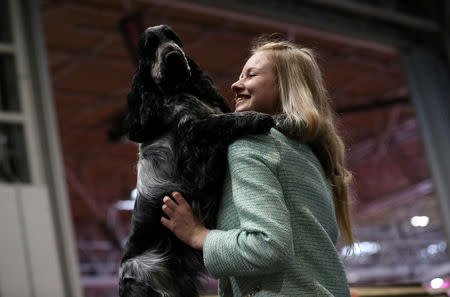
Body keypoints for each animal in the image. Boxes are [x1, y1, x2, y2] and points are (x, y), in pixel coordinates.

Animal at [118, 26, 274, 296]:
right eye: (150, 45)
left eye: (174, 38)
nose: (173, 56)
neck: (179, 92)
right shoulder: (193, 135)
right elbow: (223, 121)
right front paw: (261, 118)